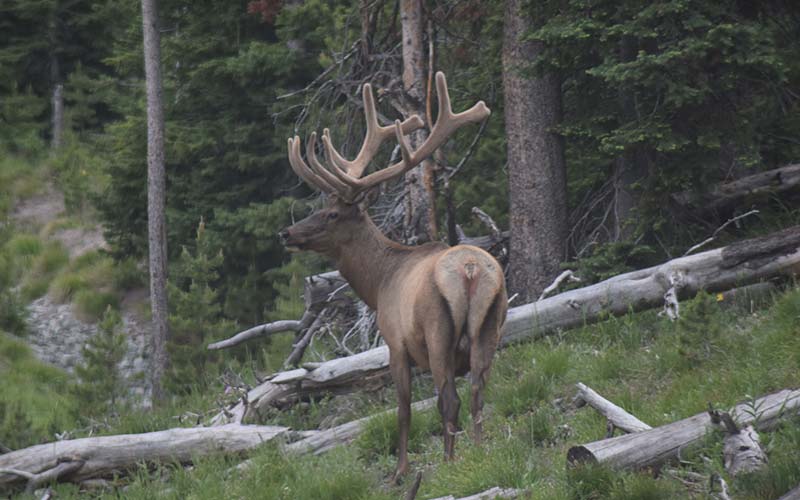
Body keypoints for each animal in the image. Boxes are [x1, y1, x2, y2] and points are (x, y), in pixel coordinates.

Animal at [280, 73, 506, 480]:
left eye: (332, 214)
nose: (286, 233)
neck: (378, 283)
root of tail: (470, 269)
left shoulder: (395, 343)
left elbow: (402, 409)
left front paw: (401, 469)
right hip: (491, 326)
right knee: (478, 392)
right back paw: (480, 453)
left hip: (437, 333)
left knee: (449, 399)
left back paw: (449, 462)